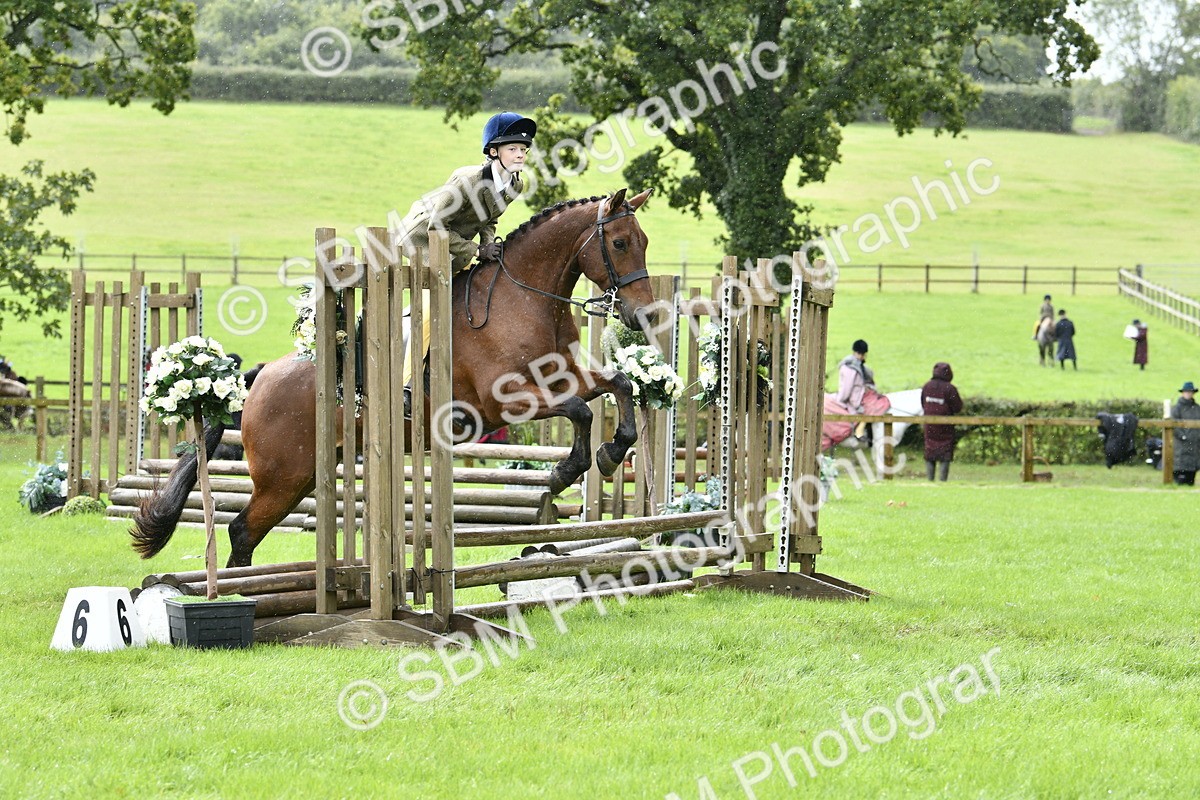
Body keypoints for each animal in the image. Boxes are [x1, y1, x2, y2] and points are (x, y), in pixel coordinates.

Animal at [132, 189, 659, 567]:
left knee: (246, 531)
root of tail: (258, 379)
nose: (642, 315)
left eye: (644, 242)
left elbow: (618, 386)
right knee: (242, 529)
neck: (524, 299)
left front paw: (610, 454)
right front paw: (564, 471)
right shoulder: (503, 400)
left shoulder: (562, 376)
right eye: (619, 243)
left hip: (305, 474)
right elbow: (579, 410)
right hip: (284, 476)